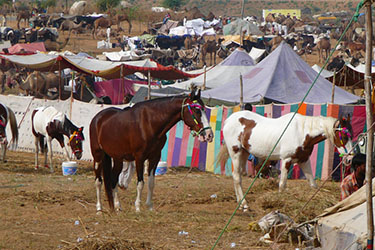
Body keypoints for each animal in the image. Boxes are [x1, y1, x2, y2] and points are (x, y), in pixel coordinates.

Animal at [219, 111, 354, 211]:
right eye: (344, 136)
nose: (350, 158)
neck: (302, 132)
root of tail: (228, 120)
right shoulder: (286, 160)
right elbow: (282, 184)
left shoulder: (304, 161)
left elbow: (313, 184)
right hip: (236, 153)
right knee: (237, 177)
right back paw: (244, 204)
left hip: (244, 153)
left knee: (238, 176)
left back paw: (240, 203)